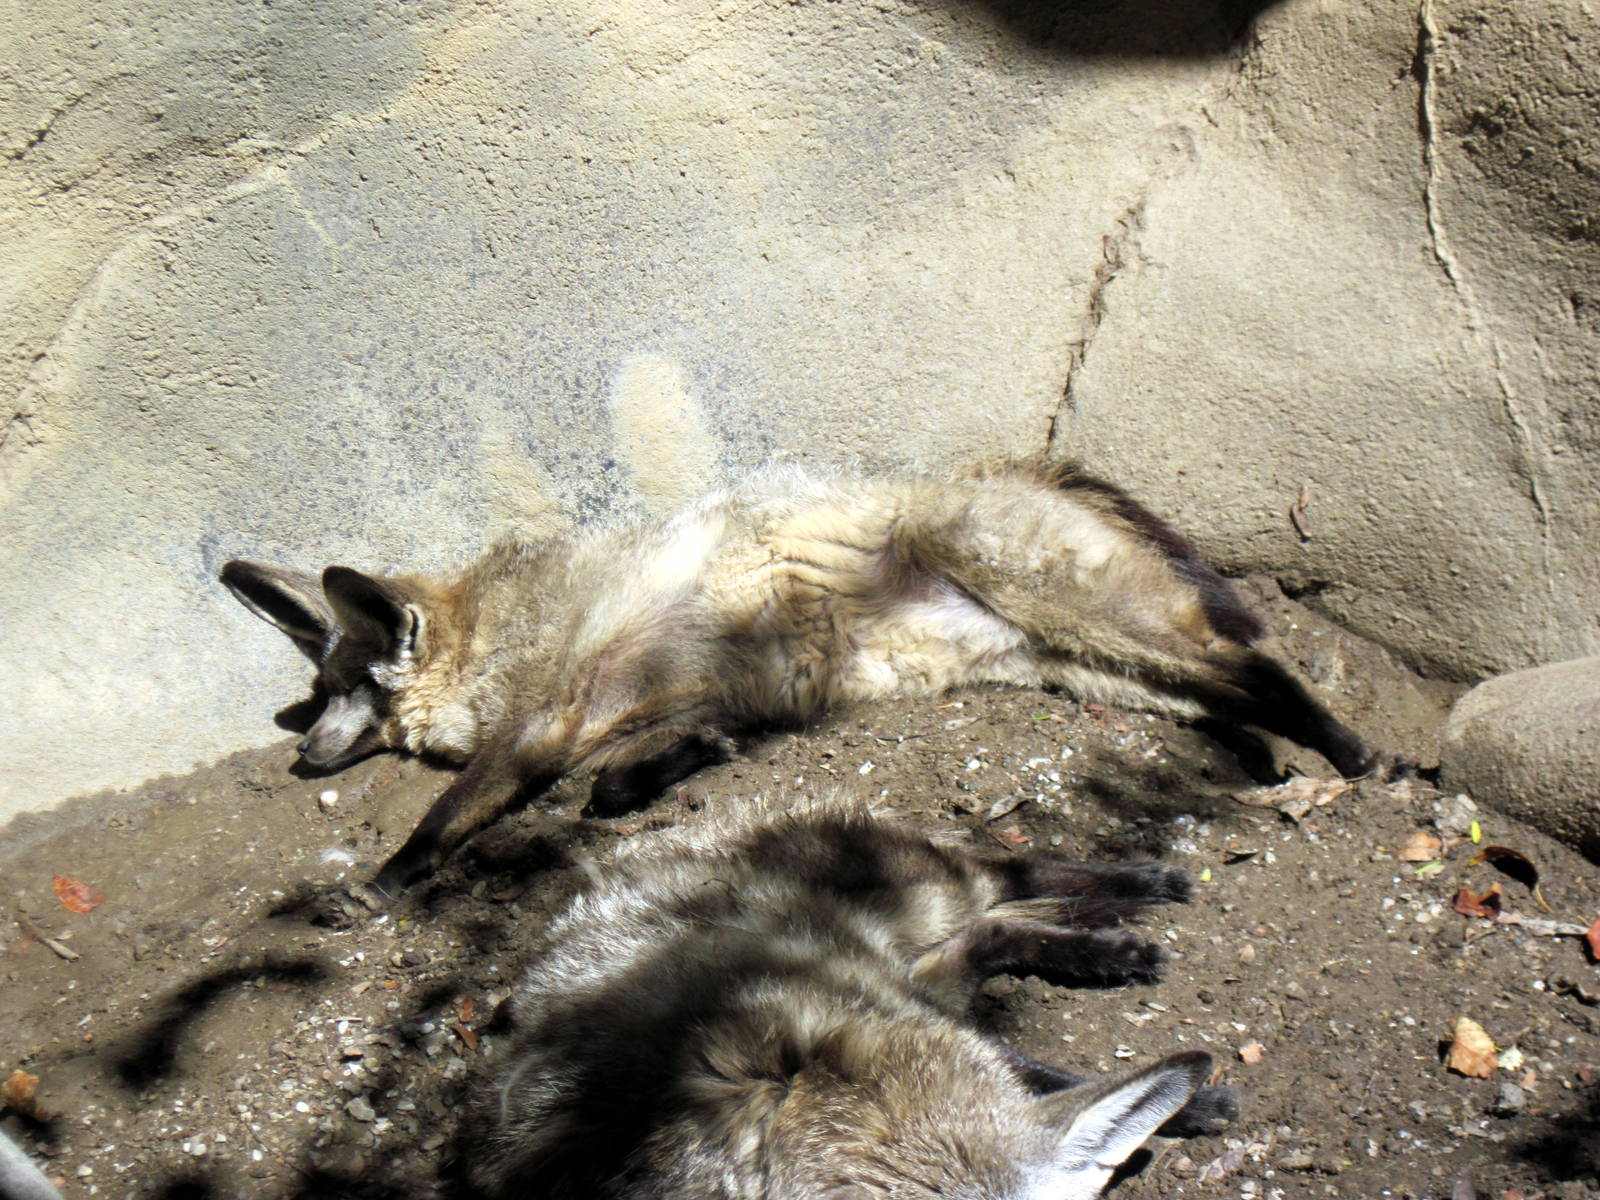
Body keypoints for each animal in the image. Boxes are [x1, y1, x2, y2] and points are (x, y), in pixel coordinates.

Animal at [221, 459, 1377, 904]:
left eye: (349, 689)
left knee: (1255, 663)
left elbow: (449, 817)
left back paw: (1347, 749)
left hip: (1078, 616)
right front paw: (664, 776)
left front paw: (378, 884)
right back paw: (1263, 757)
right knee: (1228, 687)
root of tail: (1028, 465)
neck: (505, 629)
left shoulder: (544, 723)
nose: (299, 757)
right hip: (1090, 665)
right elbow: (624, 776)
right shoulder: (653, 706)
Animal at [467, 795, 1237, 1198]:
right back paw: (1104, 938)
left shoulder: (891, 1010)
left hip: (927, 899)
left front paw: (1193, 1105)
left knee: (1008, 871)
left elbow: (1033, 1070)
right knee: (992, 927)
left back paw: (1135, 891)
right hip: (927, 948)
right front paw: (1194, 1106)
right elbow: (1034, 1071)